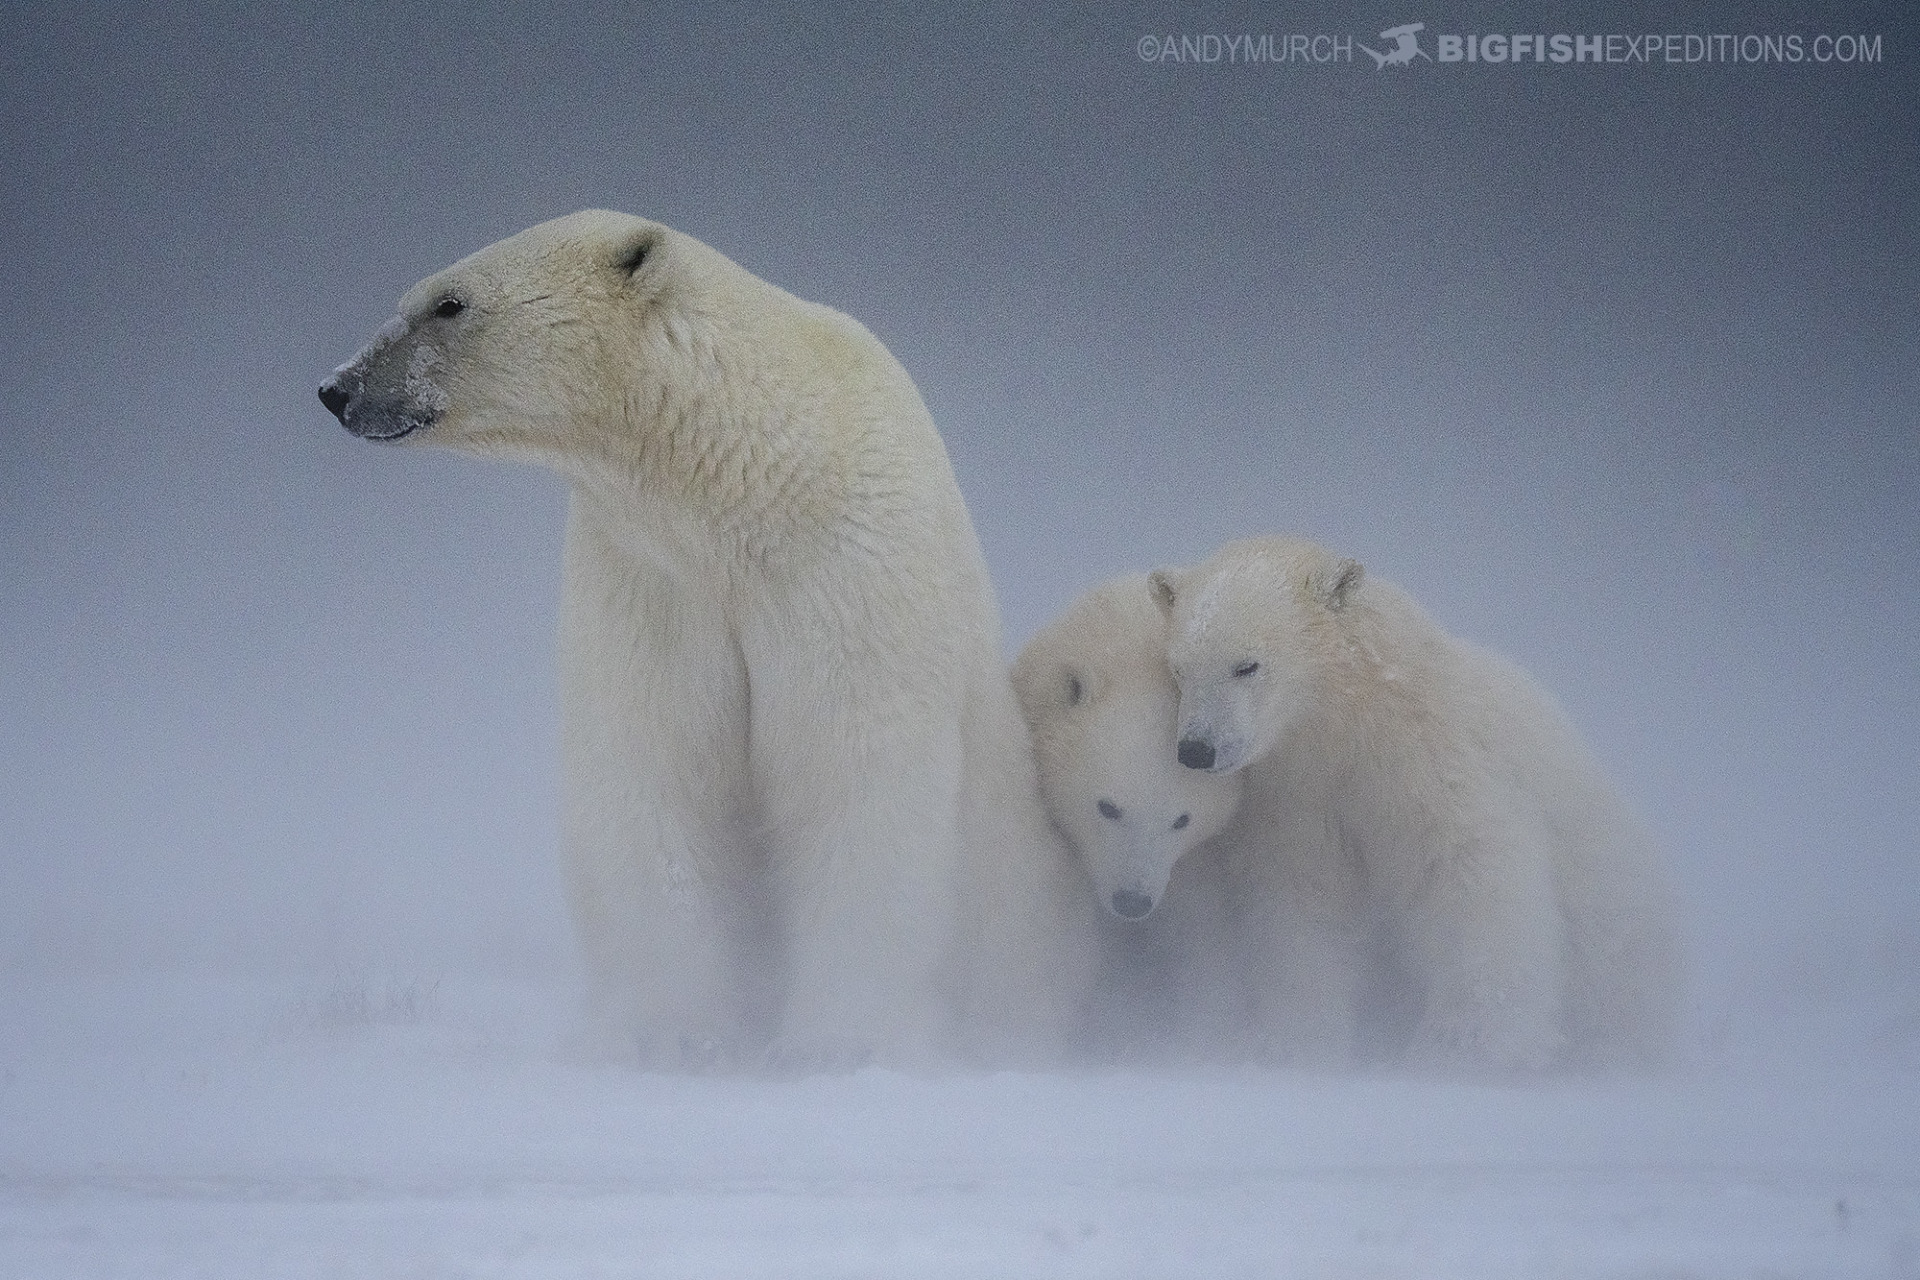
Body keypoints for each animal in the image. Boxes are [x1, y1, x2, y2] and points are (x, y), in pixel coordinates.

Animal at [318, 210, 1096, 1070]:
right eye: (416, 296)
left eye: (448, 303)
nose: (337, 388)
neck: (745, 482)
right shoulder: (650, 577)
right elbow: (654, 768)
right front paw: (676, 1035)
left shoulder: (844, 566)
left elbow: (853, 774)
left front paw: (836, 1041)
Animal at [1149, 535, 1681, 1073]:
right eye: (1179, 670)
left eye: (1247, 665)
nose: (1196, 749)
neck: (1348, 723)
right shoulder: (1298, 796)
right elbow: (1304, 898)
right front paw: (1292, 1040)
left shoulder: (1429, 757)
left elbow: (1463, 871)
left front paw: (1462, 1045)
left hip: (1611, 905)